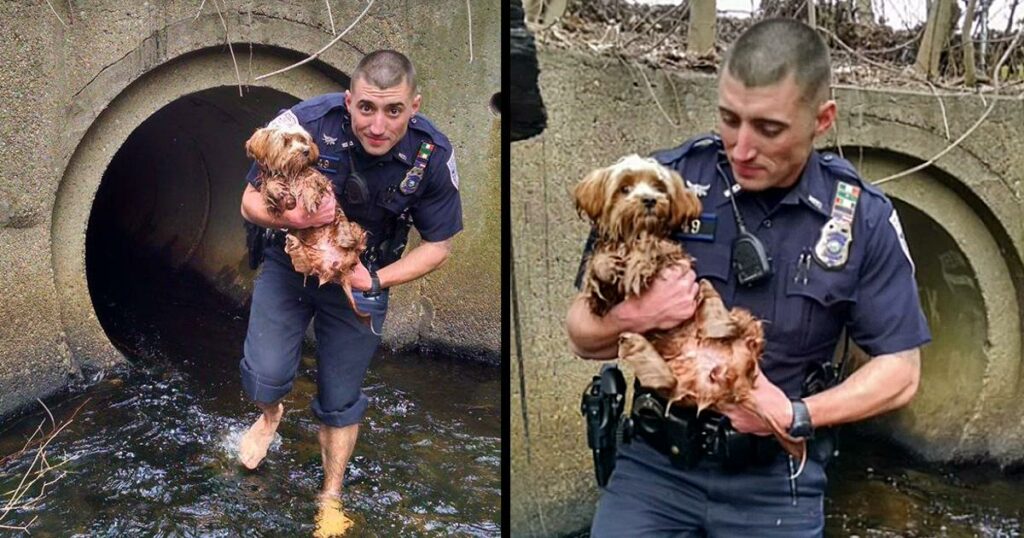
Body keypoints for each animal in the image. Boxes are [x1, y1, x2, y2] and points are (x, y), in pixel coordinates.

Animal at [245, 119, 370, 319]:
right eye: (286, 141)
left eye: (303, 140)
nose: (306, 150)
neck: (291, 172)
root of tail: (338, 269)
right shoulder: (271, 192)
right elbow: (269, 189)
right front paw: (277, 190)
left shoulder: (319, 180)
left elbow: (312, 181)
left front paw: (309, 198)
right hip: (309, 258)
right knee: (304, 265)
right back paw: (295, 246)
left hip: (353, 229)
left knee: (355, 239)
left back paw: (345, 237)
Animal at [573, 153, 802, 469]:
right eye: (624, 188)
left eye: (658, 186)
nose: (649, 200)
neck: (633, 232)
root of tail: (727, 378)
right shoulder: (603, 302)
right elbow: (599, 274)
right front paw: (606, 264)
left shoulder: (674, 256)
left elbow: (653, 245)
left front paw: (639, 260)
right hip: (677, 385)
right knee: (665, 380)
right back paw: (637, 344)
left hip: (740, 318)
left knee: (727, 313)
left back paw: (717, 326)